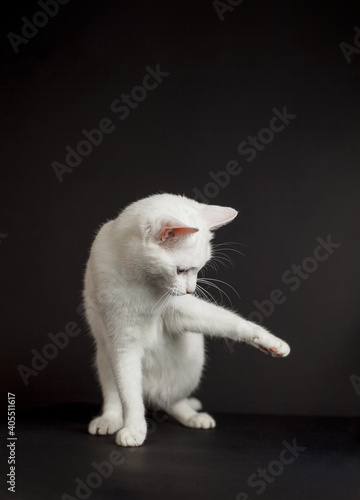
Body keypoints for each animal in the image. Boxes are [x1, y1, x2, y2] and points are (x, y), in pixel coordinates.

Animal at [83, 193, 292, 448]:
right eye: (181, 270)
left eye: (199, 269)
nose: (191, 290)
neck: (143, 285)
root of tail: (152, 393)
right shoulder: (123, 343)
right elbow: (130, 395)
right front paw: (134, 429)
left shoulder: (181, 310)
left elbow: (232, 321)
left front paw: (272, 344)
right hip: (104, 360)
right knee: (118, 397)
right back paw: (108, 421)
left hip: (191, 365)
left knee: (173, 401)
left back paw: (194, 417)